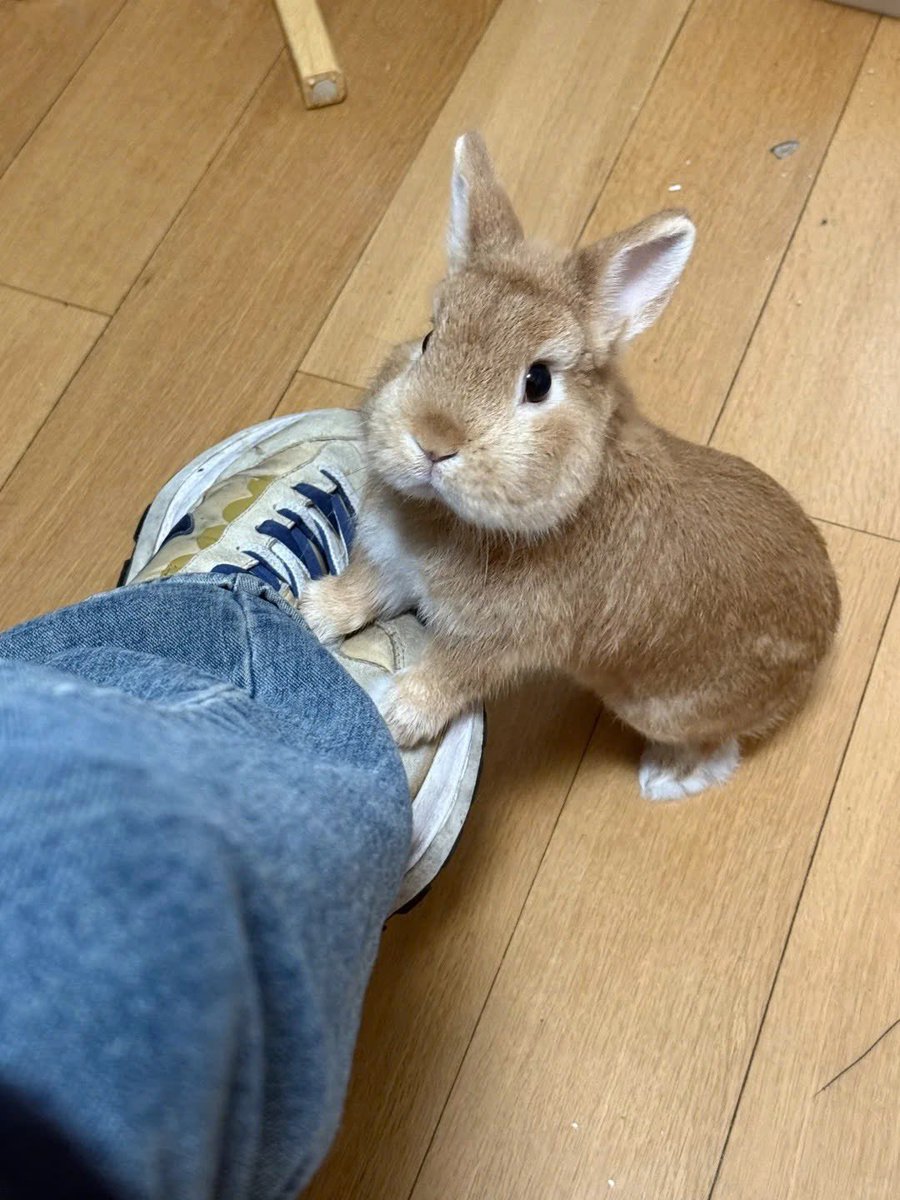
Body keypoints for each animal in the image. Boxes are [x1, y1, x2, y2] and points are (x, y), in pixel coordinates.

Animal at [300, 131, 840, 800]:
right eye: (428, 340)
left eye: (537, 382)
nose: (433, 441)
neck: (451, 521)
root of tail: (825, 638)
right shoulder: (391, 566)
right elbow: (365, 590)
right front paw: (311, 611)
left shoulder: (489, 645)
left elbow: (445, 679)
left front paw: (395, 717)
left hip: (660, 704)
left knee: (720, 746)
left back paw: (667, 778)